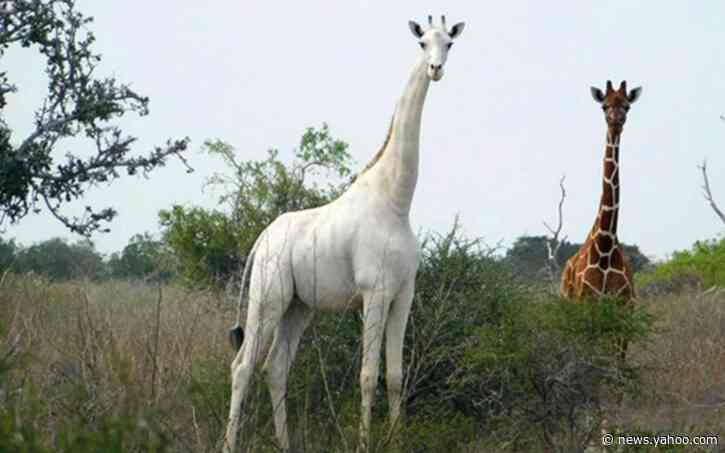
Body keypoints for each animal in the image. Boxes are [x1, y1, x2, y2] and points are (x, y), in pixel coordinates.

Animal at [223, 16, 465, 453]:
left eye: (450, 43)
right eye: (422, 42)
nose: (436, 69)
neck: (396, 202)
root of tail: (261, 239)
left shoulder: (404, 294)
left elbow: (395, 376)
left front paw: (396, 441)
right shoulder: (374, 292)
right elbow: (368, 376)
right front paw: (364, 443)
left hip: (298, 306)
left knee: (275, 368)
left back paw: (286, 445)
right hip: (268, 296)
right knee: (243, 365)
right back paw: (229, 444)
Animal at [560, 80, 642, 306]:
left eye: (626, 106)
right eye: (604, 106)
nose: (616, 121)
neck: (605, 244)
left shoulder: (626, 302)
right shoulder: (587, 300)